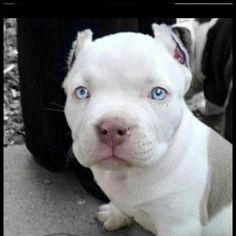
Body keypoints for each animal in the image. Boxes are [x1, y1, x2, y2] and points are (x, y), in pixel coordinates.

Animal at [62, 24, 232, 236]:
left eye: (158, 93)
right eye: (82, 92)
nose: (112, 127)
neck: (129, 175)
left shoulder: (178, 225)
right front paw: (115, 214)